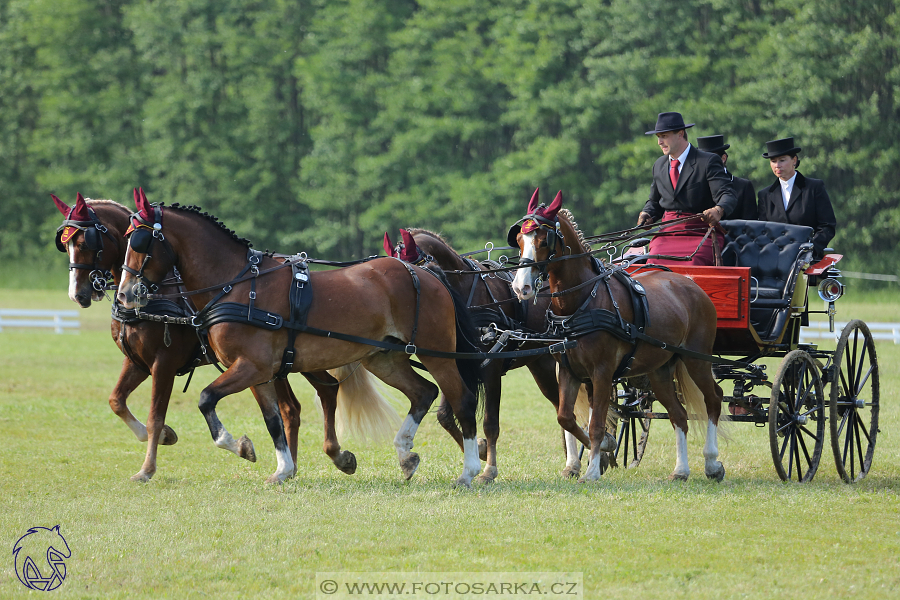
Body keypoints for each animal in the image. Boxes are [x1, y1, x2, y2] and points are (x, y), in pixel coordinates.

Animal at [55, 192, 394, 482]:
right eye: (65, 244)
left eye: (87, 241)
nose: (78, 294)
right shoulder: (138, 362)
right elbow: (116, 401)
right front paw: (166, 436)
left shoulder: (164, 363)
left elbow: (155, 415)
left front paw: (147, 468)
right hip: (283, 365)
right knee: (294, 408)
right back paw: (295, 464)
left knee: (326, 390)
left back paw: (331, 456)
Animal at [118, 193, 486, 488]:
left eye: (140, 242)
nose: (125, 294)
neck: (238, 285)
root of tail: (426, 273)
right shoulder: (259, 373)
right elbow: (273, 421)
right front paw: (282, 469)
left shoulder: (251, 367)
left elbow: (207, 399)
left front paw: (238, 445)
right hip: (384, 358)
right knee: (423, 392)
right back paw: (405, 454)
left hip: (437, 354)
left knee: (462, 401)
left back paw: (469, 472)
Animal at [384, 226, 596, 482]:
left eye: (413, 271)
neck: (465, 292)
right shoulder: (459, 366)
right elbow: (446, 415)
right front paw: (480, 450)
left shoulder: (491, 371)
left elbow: (490, 424)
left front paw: (488, 470)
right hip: (541, 365)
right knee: (561, 406)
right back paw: (572, 463)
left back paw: (577, 460)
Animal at [510, 191, 728, 482]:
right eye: (520, 240)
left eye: (544, 241)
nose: (520, 287)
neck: (582, 302)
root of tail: (692, 283)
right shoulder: (569, 371)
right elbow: (566, 417)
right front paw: (603, 447)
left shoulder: (602, 373)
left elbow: (596, 423)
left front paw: (592, 469)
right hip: (660, 370)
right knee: (679, 415)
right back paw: (681, 470)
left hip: (697, 359)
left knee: (714, 398)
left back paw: (712, 463)